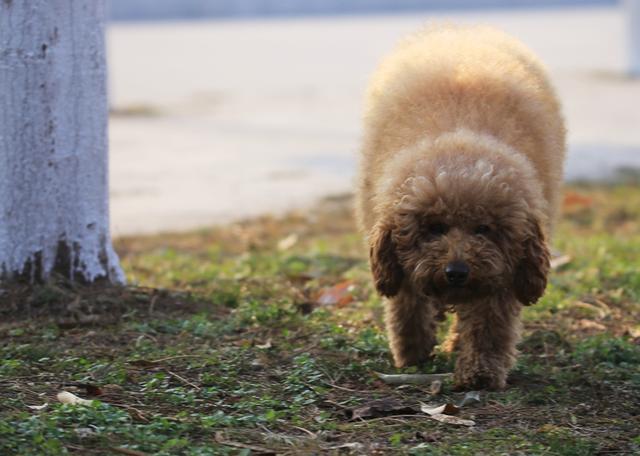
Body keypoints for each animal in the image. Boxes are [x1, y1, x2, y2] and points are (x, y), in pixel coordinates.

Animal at [358, 25, 568, 388]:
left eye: (484, 230)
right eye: (434, 228)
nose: (456, 272)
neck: (460, 139)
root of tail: (461, 30)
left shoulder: (502, 270)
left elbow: (490, 325)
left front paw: (481, 373)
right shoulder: (400, 262)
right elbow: (407, 306)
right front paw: (412, 353)